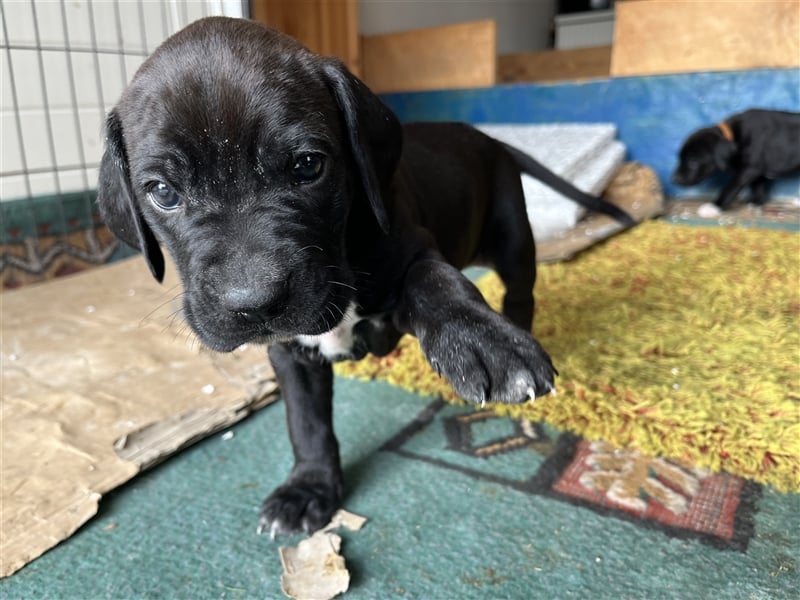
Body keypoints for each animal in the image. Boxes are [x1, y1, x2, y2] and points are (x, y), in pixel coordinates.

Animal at [95, 16, 632, 536]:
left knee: (520, 289)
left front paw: (481, 339)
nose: (253, 302)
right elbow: (307, 422)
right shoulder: (290, 354)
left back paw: (514, 326)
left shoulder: (412, 250)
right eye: (163, 192)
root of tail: (490, 138)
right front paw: (309, 488)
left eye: (308, 166)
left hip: (513, 237)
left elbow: (438, 282)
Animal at [672, 109, 800, 210]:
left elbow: (731, 186)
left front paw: (715, 206)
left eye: (693, 161)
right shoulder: (757, 169)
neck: (732, 135)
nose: (675, 179)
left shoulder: (749, 168)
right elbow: (758, 185)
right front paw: (756, 202)